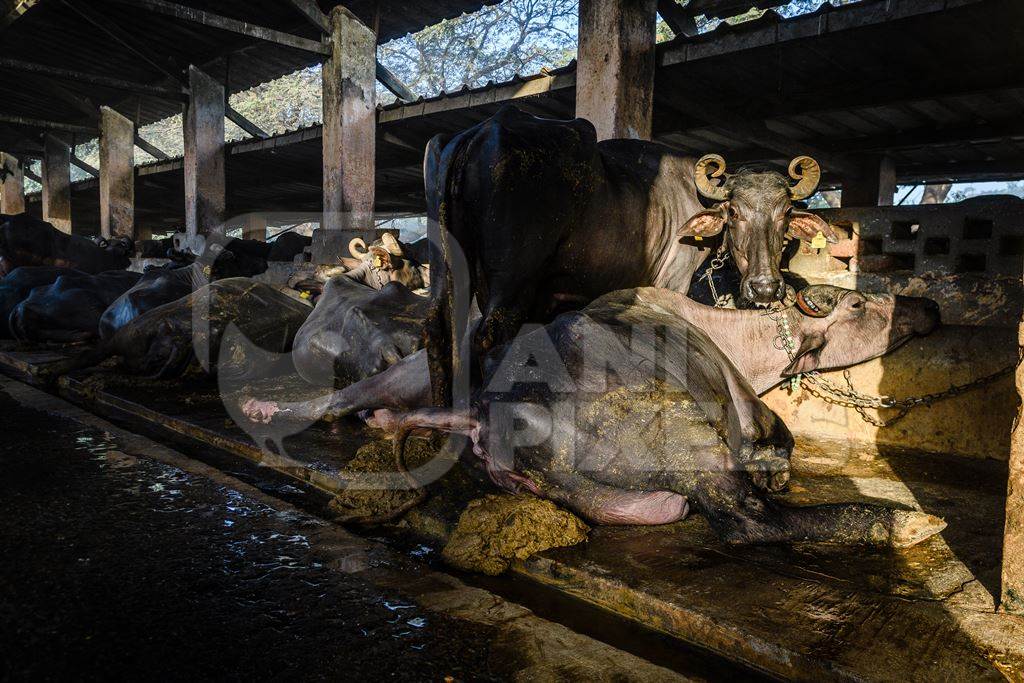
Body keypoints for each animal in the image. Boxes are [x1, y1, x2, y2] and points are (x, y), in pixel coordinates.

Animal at [425, 104, 839, 409]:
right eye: (734, 212)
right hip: (511, 282)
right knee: (487, 337)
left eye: (786, 212)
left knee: (439, 331)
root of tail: (478, 133)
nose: (766, 287)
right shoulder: (671, 282)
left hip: (450, 273)